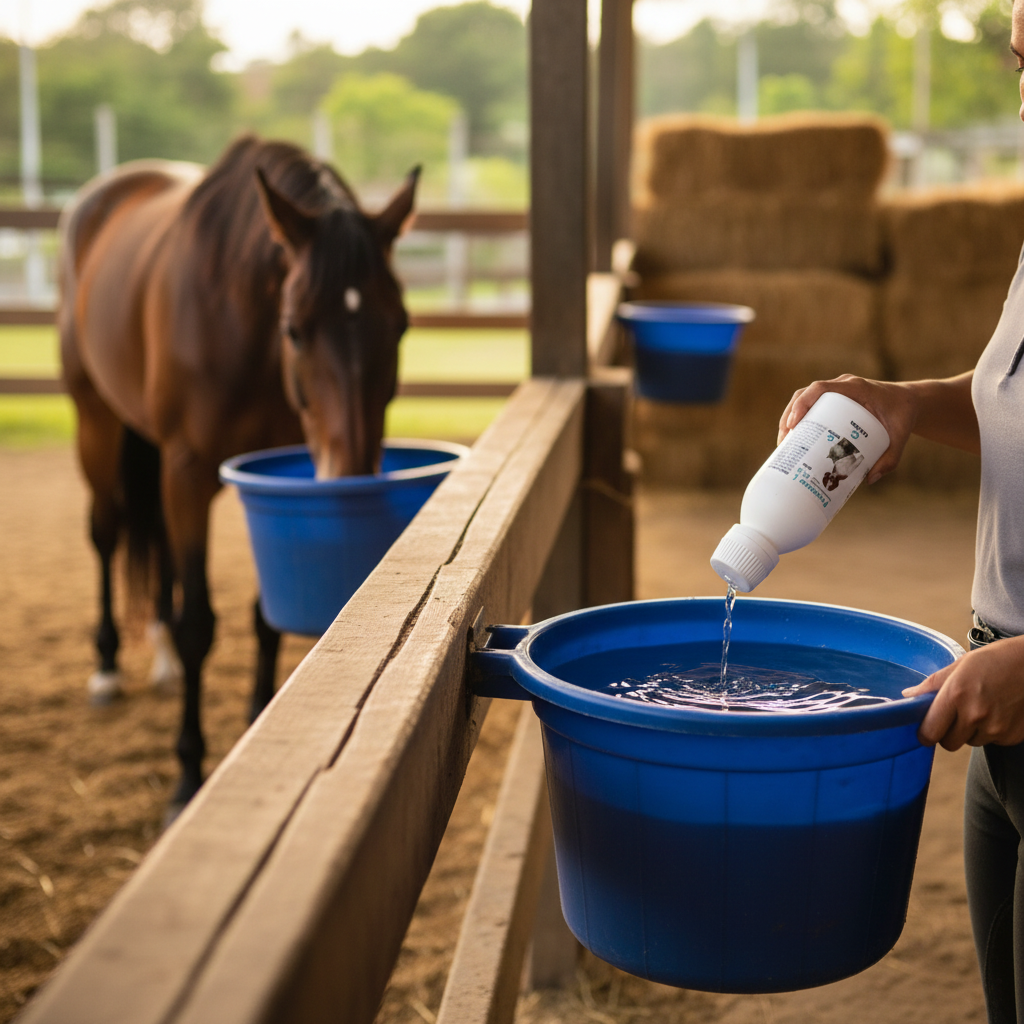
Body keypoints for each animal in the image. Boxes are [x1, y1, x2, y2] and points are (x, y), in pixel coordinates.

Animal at [58, 135, 418, 812]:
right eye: (295, 329)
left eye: (401, 326)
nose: (351, 473)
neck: (235, 317)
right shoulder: (188, 472)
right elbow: (200, 623)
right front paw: (187, 775)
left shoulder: (269, 471)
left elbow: (261, 618)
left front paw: (257, 720)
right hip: (97, 420)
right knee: (105, 531)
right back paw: (108, 666)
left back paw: (161, 657)